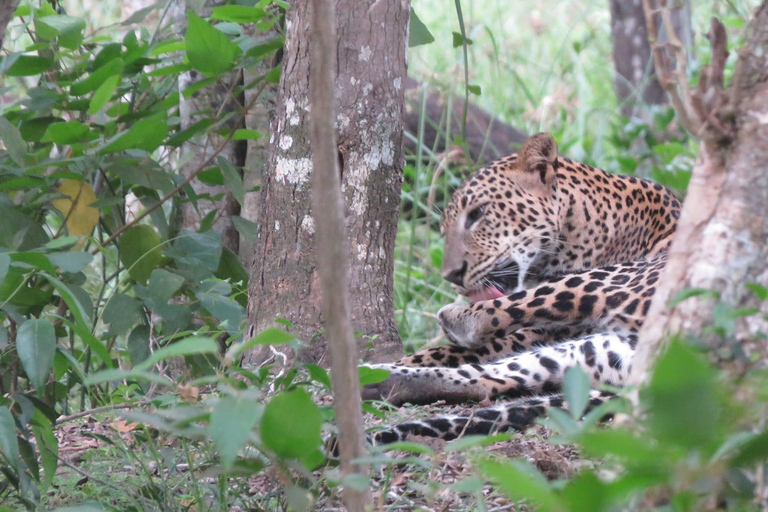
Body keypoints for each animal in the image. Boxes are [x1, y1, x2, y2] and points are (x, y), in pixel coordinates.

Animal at [356, 133, 680, 448]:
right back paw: (372, 377)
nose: (452, 276)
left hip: (615, 283)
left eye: (478, 213)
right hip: (598, 349)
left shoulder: (546, 328)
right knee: (486, 377)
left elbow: (462, 344)